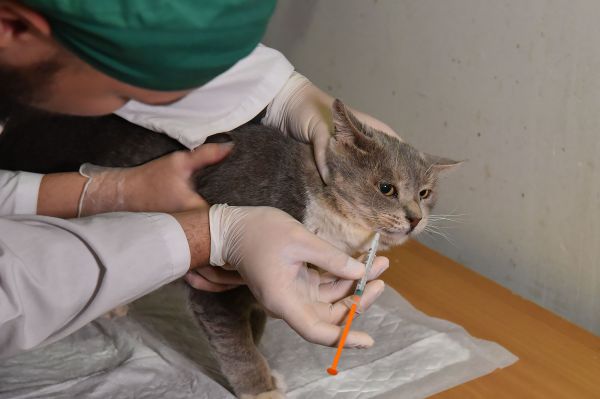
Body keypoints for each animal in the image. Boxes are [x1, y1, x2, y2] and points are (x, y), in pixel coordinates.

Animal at [0, 99, 460, 396]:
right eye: (386, 188)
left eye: (425, 193)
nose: (415, 218)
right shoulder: (219, 286)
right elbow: (235, 344)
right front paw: (261, 388)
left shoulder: (255, 295)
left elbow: (255, 327)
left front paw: (267, 367)